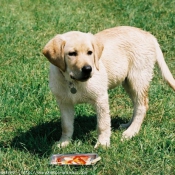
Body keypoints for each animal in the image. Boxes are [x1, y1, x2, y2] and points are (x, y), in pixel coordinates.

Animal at [42, 26, 175, 148]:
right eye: (72, 54)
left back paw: (131, 132)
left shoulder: (101, 99)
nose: (88, 69)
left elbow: (103, 124)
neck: (73, 82)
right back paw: (127, 125)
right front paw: (64, 142)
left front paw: (102, 144)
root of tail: (149, 35)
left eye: (90, 52)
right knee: (136, 105)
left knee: (142, 106)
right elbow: (66, 125)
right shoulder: (64, 103)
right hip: (128, 82)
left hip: (138, 77)